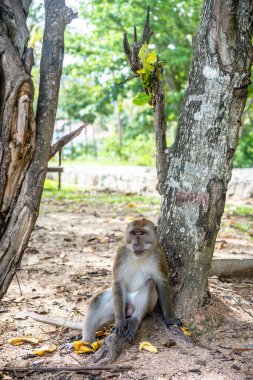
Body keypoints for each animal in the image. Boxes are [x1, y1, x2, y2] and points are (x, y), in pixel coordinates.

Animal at [28, 217, 181, 344]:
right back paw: (86, 342)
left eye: (142, 233)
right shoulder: (121, 252)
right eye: (133, 233)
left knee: (149, 284)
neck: (139, 256)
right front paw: (119, 322)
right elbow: (117, 282)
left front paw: (169, 317)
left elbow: (161, 282)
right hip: (115, 306)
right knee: (97, 300)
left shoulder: (158, 254)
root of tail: (128, 309)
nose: (136, 243)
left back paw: (135, 320)